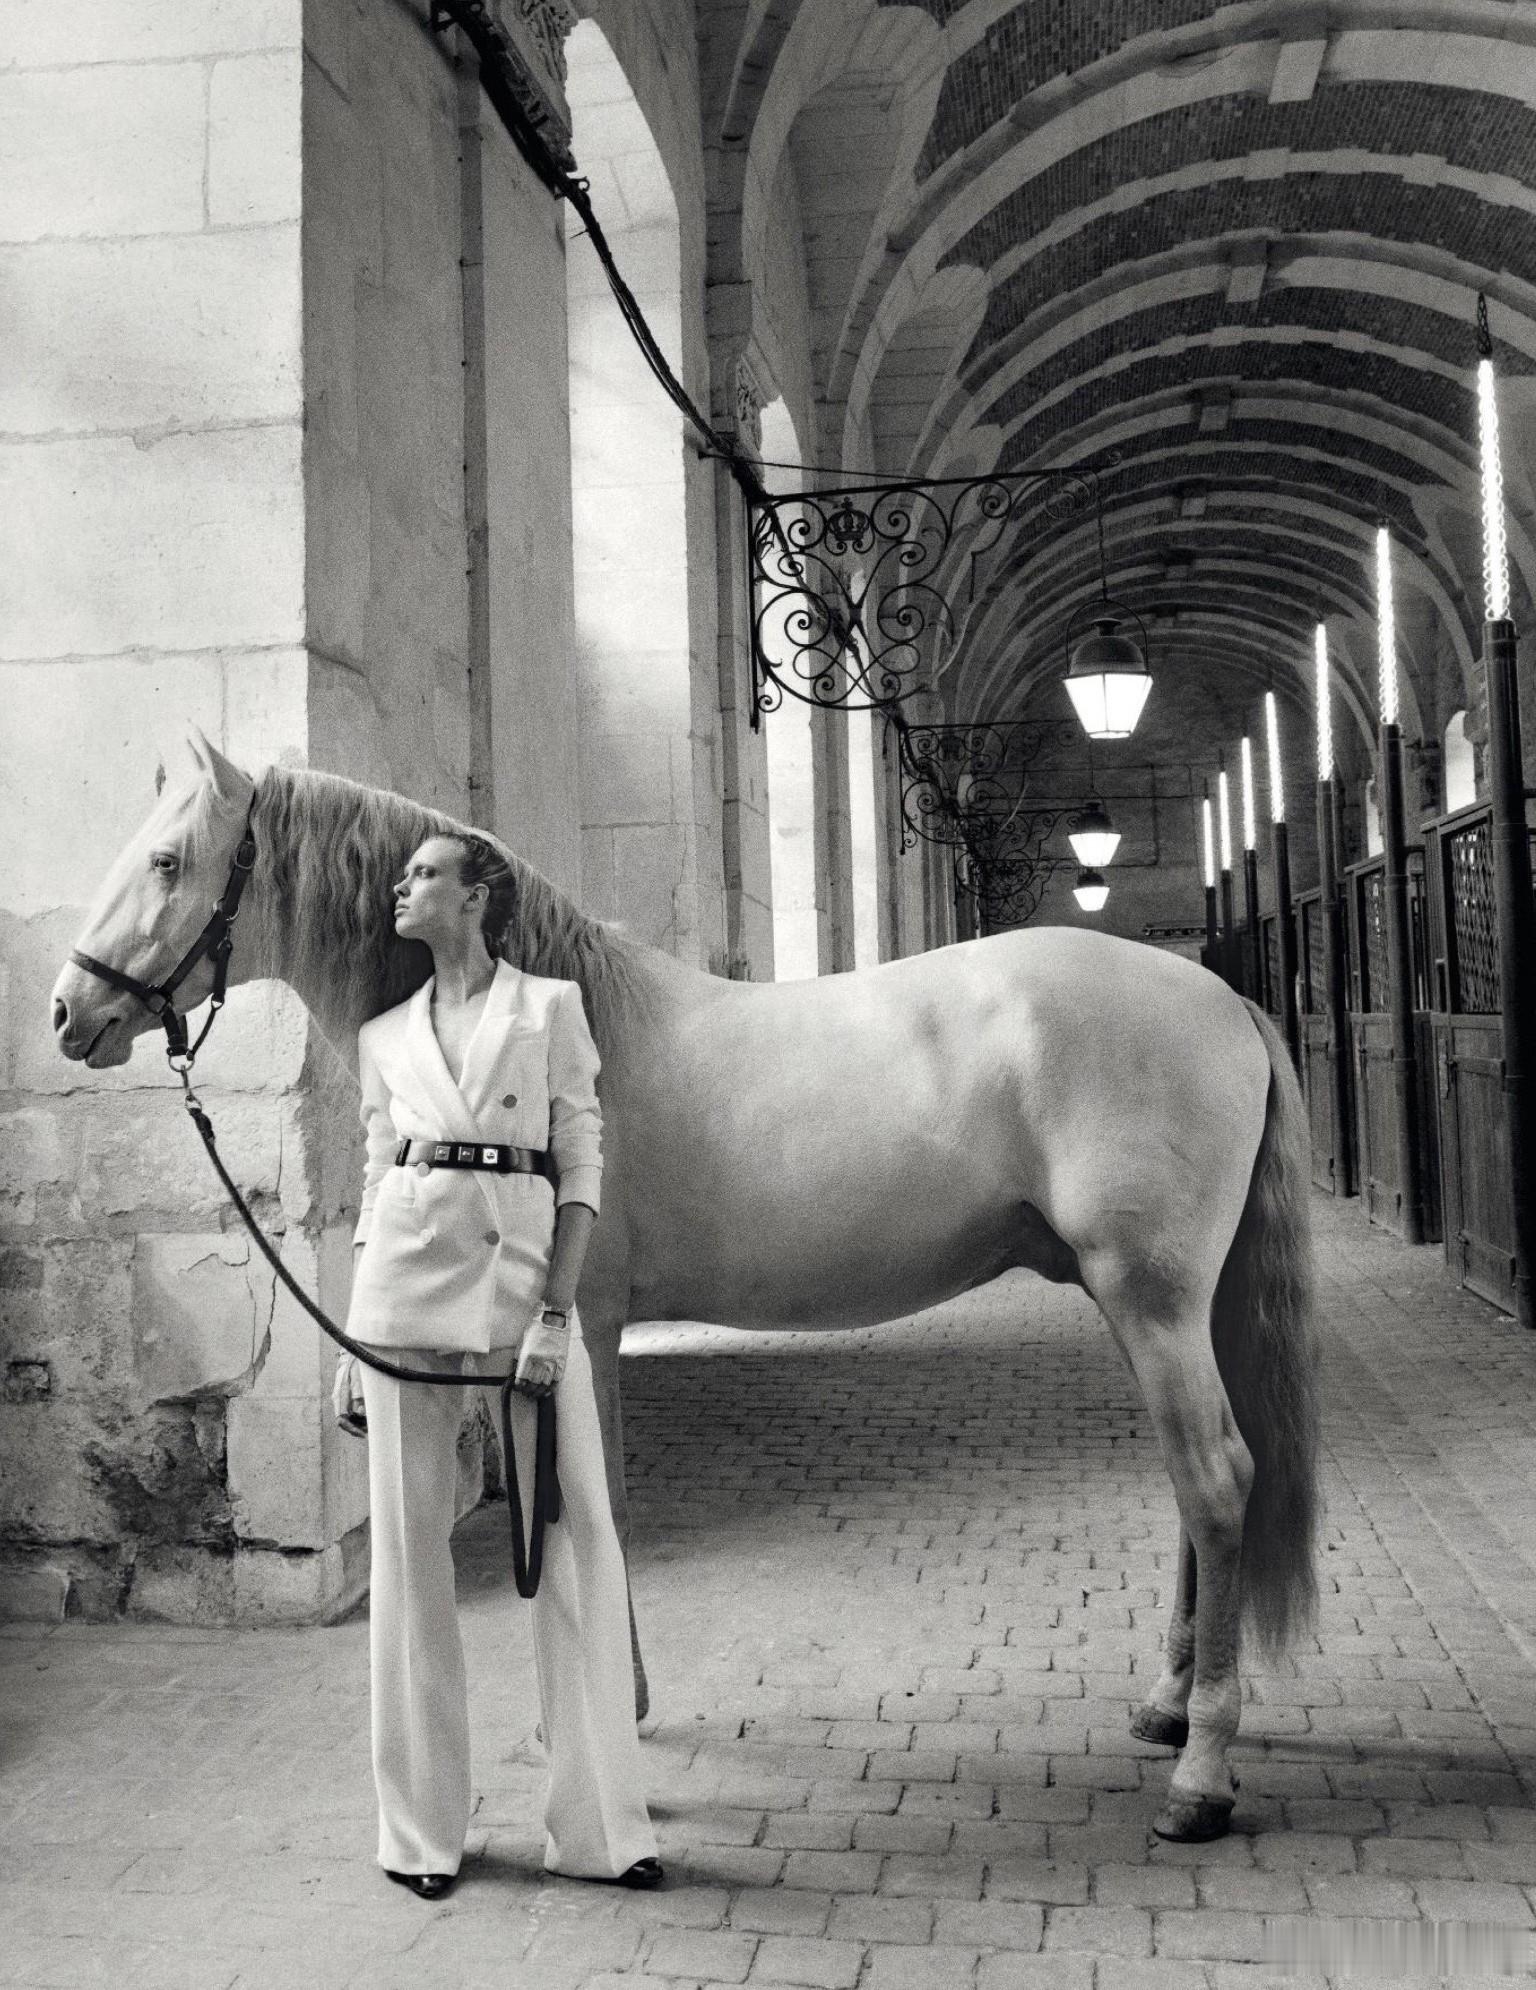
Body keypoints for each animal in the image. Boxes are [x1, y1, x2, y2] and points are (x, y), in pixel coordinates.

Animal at [51, 731, 1320, 1844]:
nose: (70, 1011)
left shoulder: (578, 1328)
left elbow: (592, 1499)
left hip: (1150, 1297)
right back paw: (1165, 1707)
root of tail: (1222, 1002)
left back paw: (1201, 1776)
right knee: (1195, 1488)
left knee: (1215, 1480)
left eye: (168, 861)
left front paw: (612, 1719)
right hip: (1165, 1307)